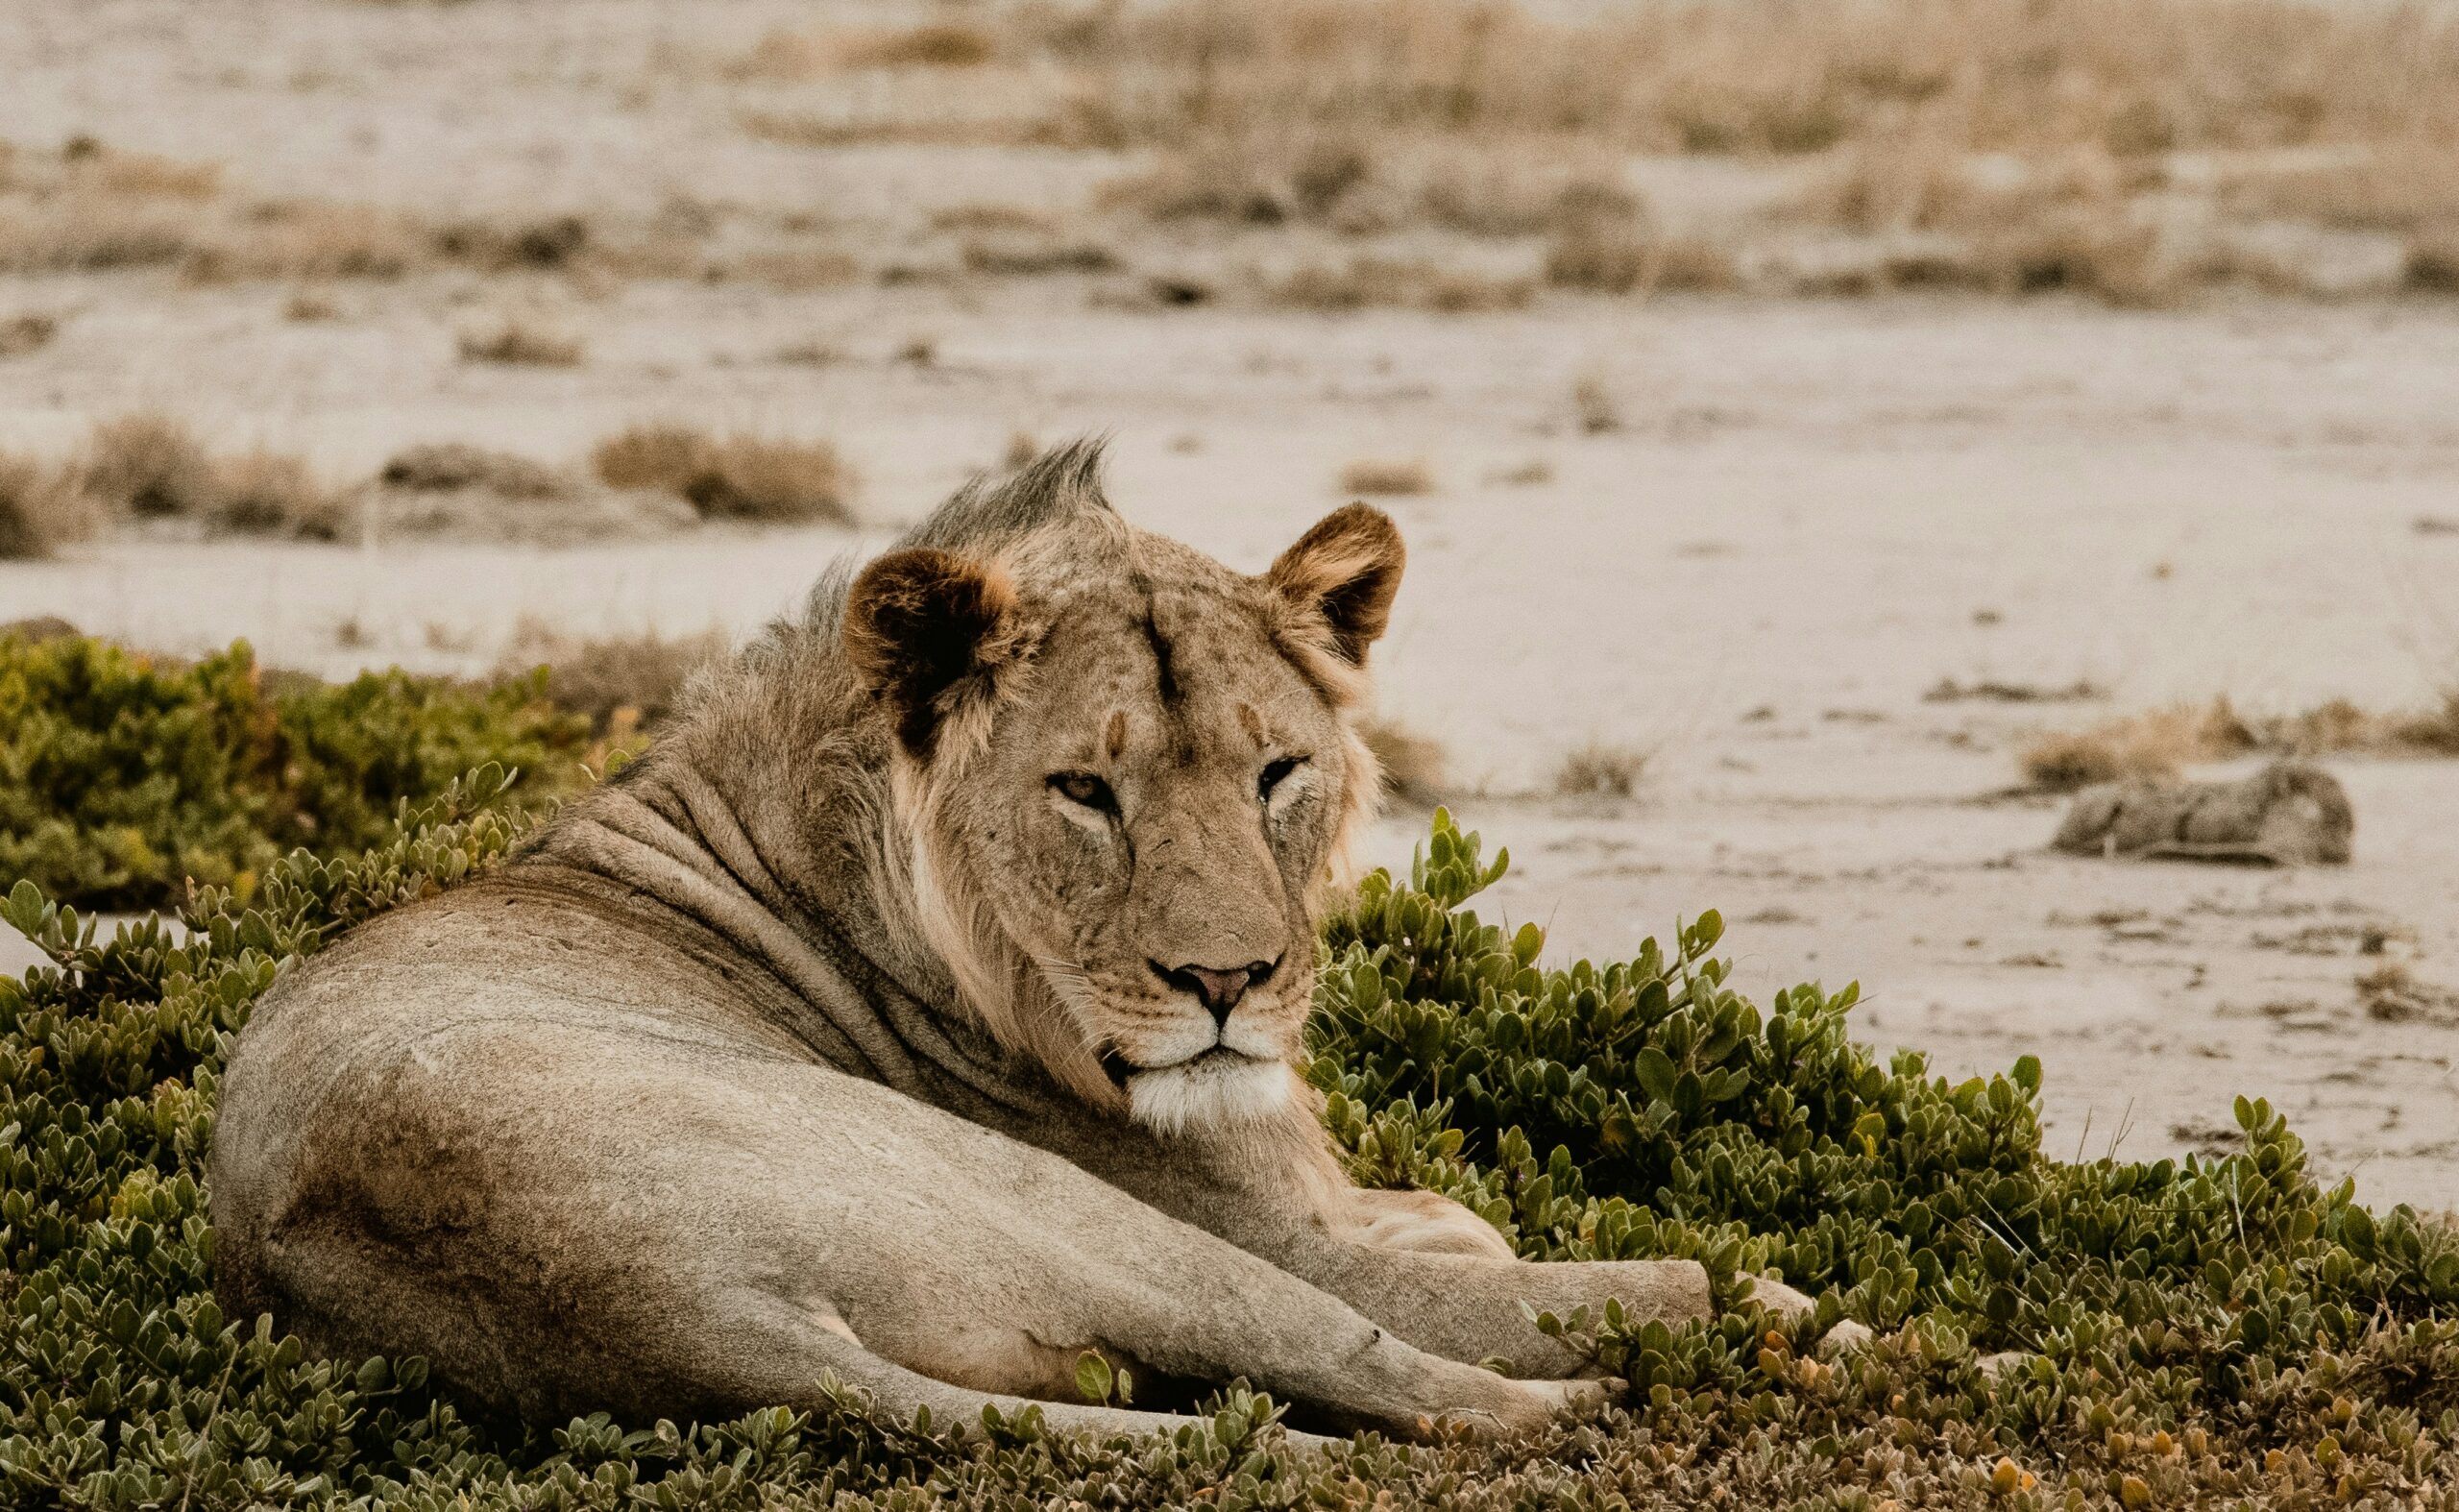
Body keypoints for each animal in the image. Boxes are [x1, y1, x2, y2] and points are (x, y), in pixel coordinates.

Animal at [210, 442, 1839, 1445]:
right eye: (1085, 790)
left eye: (1275, 771)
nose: (1228, 984)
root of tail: (663, 1316)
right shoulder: (1290, 1232)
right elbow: (1533, 1276)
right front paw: (1768, 1302)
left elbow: (1454, 1221)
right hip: (1071, 1210)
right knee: (1410, 1368)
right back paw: (1672, 1378)